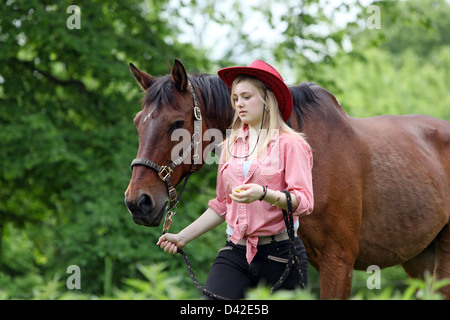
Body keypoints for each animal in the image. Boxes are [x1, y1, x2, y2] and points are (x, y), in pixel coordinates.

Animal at [124, 58, 450, 298]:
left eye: (177, 123)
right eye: (138, 122)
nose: (138, 202)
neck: (316, 153)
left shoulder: (339, 260)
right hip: (420, 258)